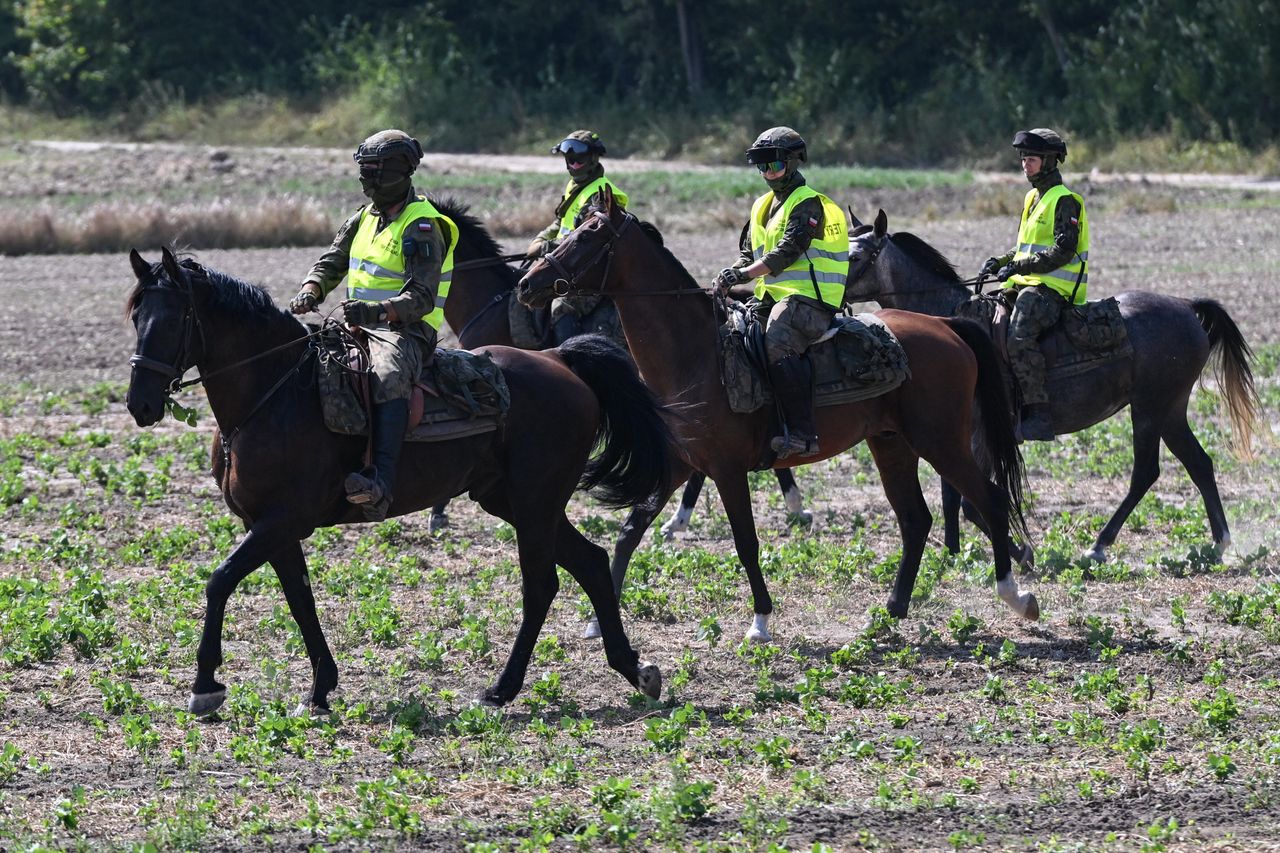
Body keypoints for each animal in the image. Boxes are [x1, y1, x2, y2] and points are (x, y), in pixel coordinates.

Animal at [124, 245, 675, 712]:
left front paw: (205, 685)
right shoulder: (269, 526)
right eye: (136, 317)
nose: (140, 404)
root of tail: (560, 360)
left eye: (171, 320)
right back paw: (634, 670)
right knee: (592, 563)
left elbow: (219, 581)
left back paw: (502, 689)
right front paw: (320, 688)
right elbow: (300, 600)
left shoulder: (282, 520)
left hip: (534, 501)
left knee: (541, 585)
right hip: (514, 501)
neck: (276, 394)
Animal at [514, 188, 1034, 637]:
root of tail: (947, 325)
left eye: (588, 235)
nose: (526, 283)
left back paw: (1015, 594)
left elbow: (746, 542)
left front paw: (760, 621)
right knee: (916, 520)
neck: (698, 354)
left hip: (941, 441)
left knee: (987, 499)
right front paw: (597, 621)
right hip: (892, 444)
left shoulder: (727, 471)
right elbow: (628, 532)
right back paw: (890, 611)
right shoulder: (681, 464)